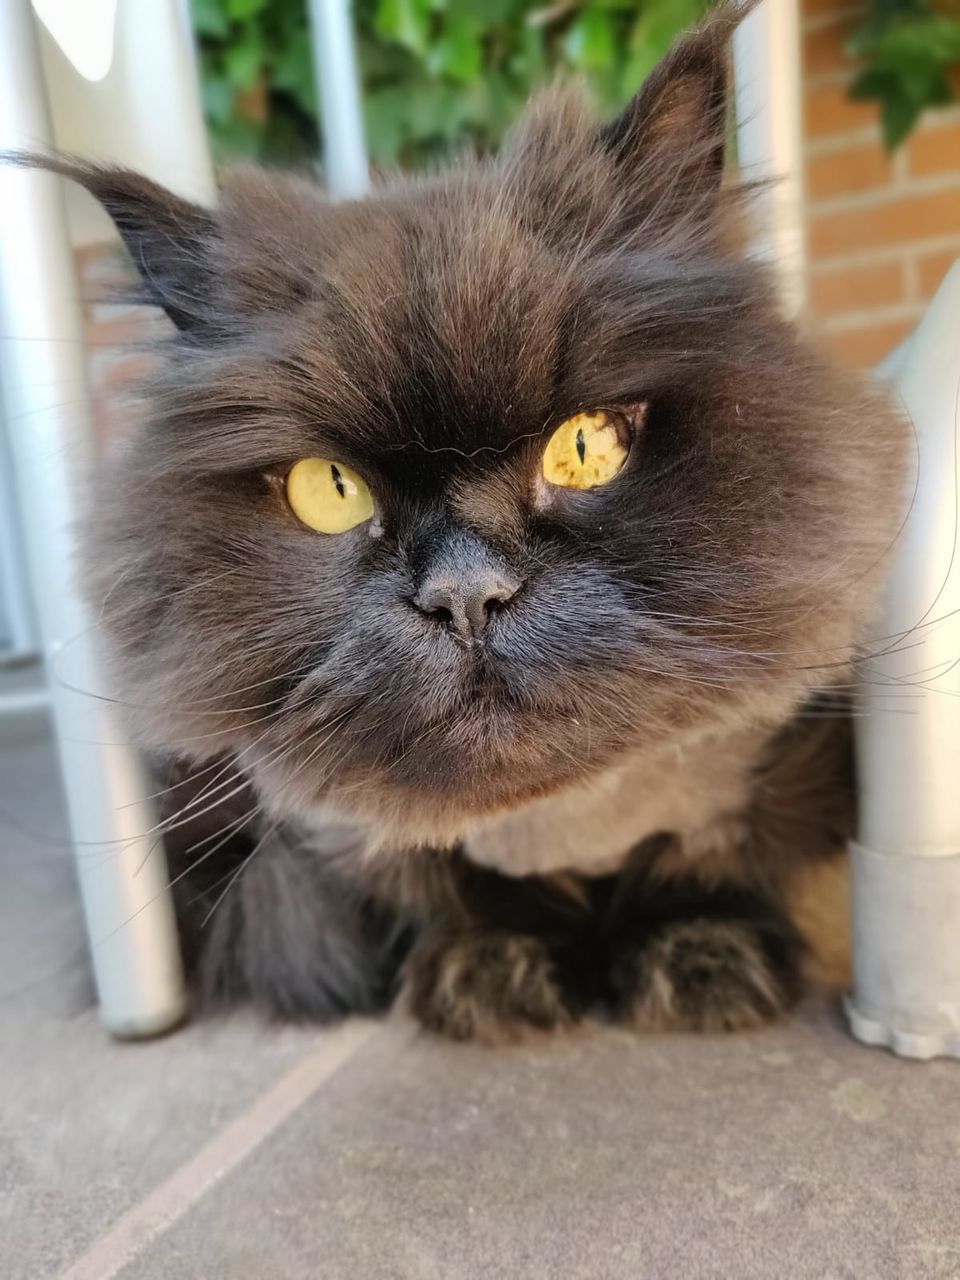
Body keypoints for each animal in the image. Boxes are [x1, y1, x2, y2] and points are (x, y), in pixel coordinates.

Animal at [22, 5, 911, 1039]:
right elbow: (456, 878)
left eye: (586, 448)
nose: (464, 595)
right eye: (330, 491)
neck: (560, 819)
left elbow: (699, 854)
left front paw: (698, 954)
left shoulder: (767, 760)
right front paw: (494, 970)